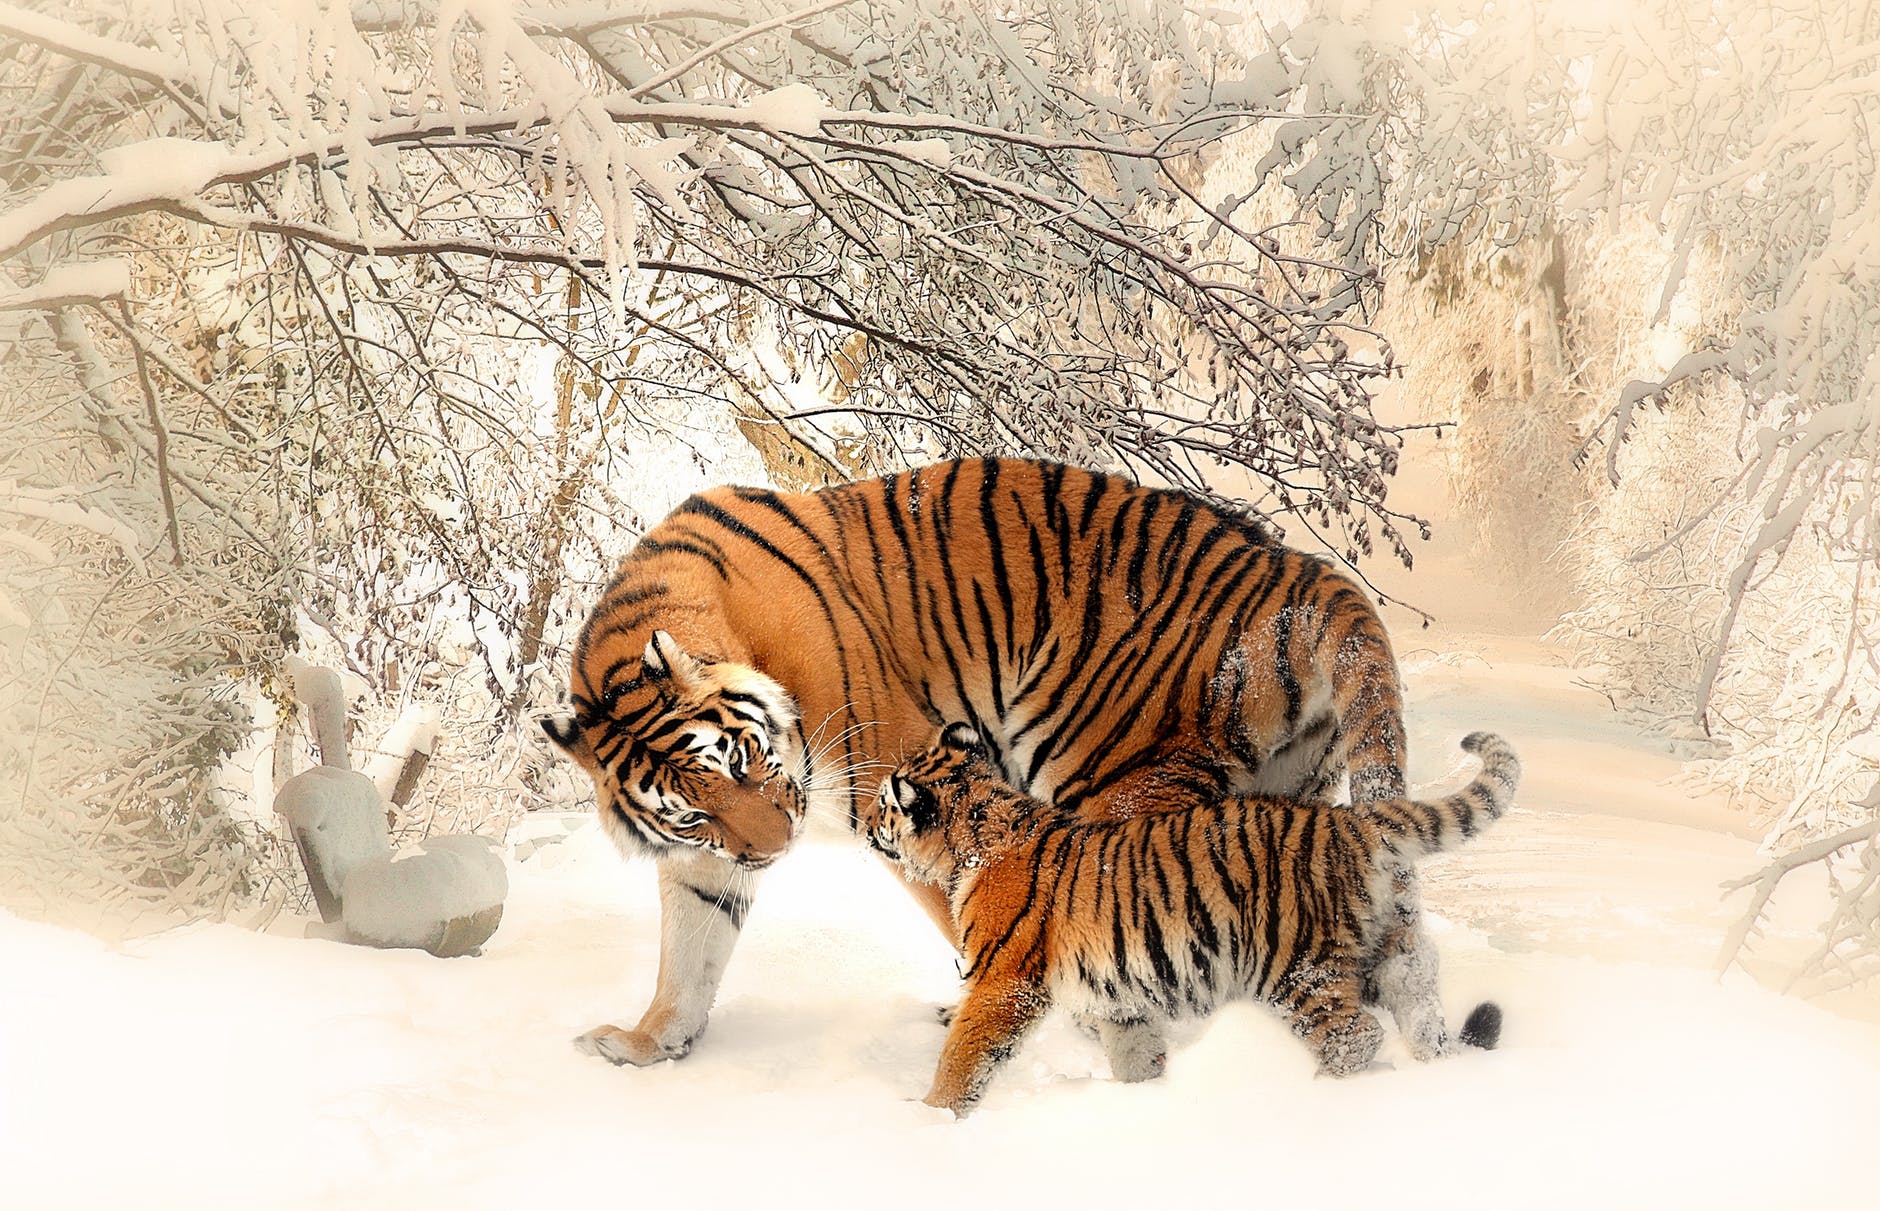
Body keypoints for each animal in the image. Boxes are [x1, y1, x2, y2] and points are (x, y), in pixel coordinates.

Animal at [542, 457, 1416, 1068]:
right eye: (694, 810)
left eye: (747, 760)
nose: (775, 849)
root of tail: (1300, 571)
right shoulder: (705, 857)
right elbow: (688, 951)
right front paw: (648, 1043)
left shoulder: (899, 779)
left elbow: (967, 911)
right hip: (1284, 797)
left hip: (1112, 777)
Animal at [862, 723, 1520, 1114]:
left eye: (885, 804)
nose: (864, 825)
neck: (978, 832)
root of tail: (1350, 820)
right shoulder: (1119, 997)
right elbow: (1134, 1054)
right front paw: (1145, 1102)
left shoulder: (1003, 983)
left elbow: (963, 1054)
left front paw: (932, 1118)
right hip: (1384, 950)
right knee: (1419, 1005)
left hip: (1295, 966)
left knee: (1355, 1035)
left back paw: (1319, 1094)